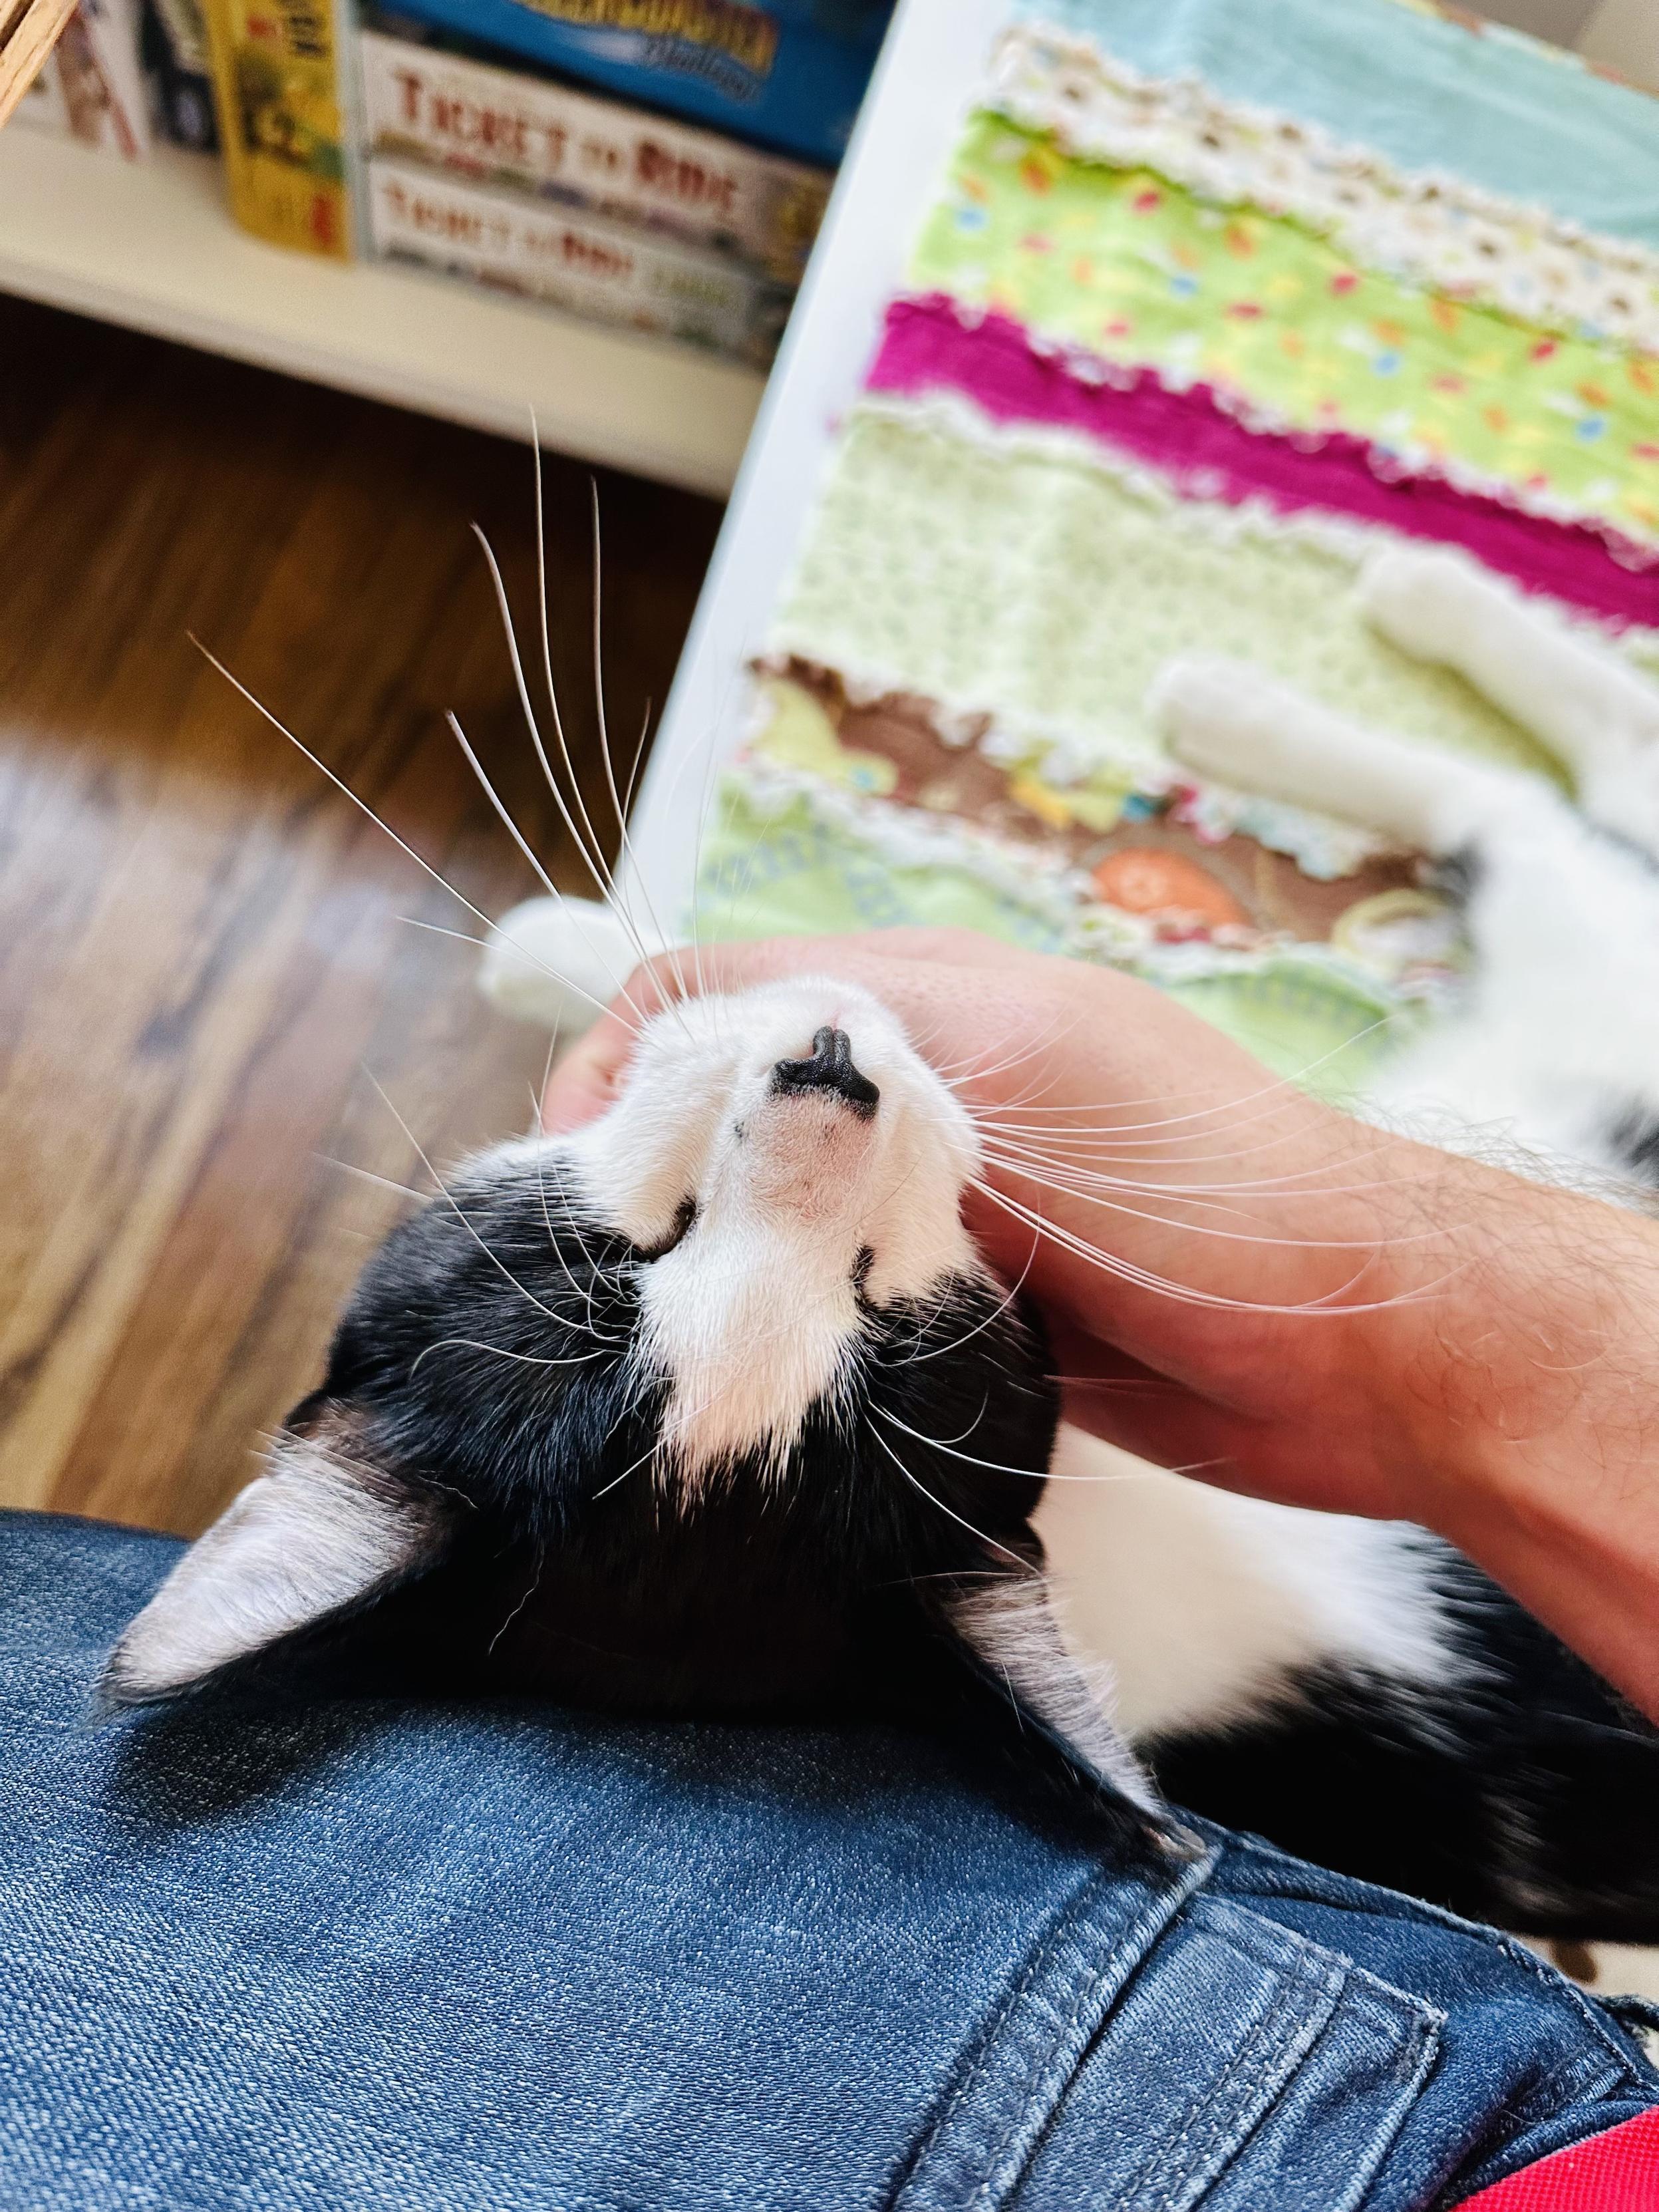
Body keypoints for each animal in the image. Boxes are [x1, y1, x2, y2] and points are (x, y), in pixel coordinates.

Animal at [110, 548, 1659, 1937]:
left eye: (882, 1319)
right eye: (650, 1247)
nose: (827, 1079)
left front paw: (572, 950)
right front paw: (573, 952)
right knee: (1546, 809)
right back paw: (1298, 671)